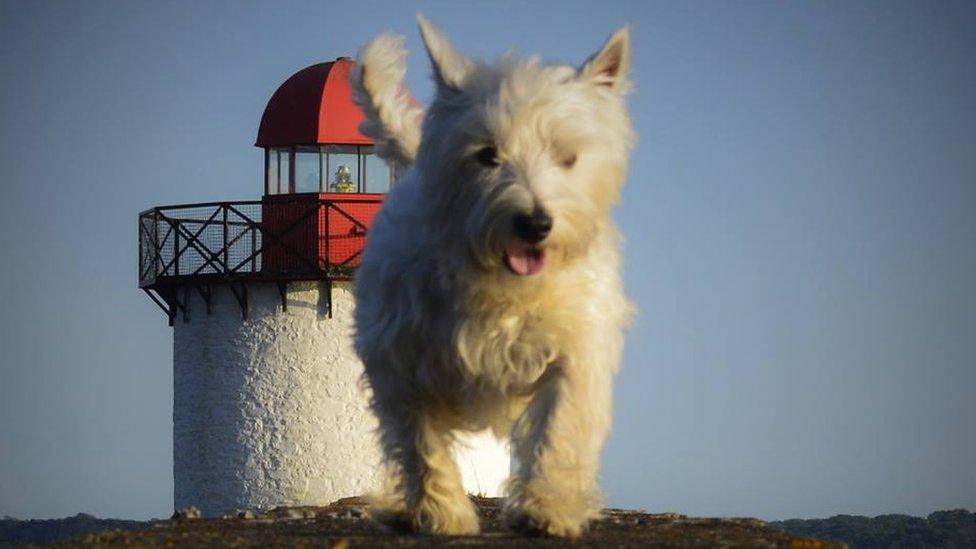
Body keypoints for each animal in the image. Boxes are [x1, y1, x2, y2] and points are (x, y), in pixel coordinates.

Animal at [348, 16, 632, 536]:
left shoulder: (575, 350)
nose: (535, 224)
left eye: (568, 157)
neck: (502, 286)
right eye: (486, 154)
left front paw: (548, 509)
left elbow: (560, 426)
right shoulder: (400, 358)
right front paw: (442, 513)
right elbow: (420, 441)